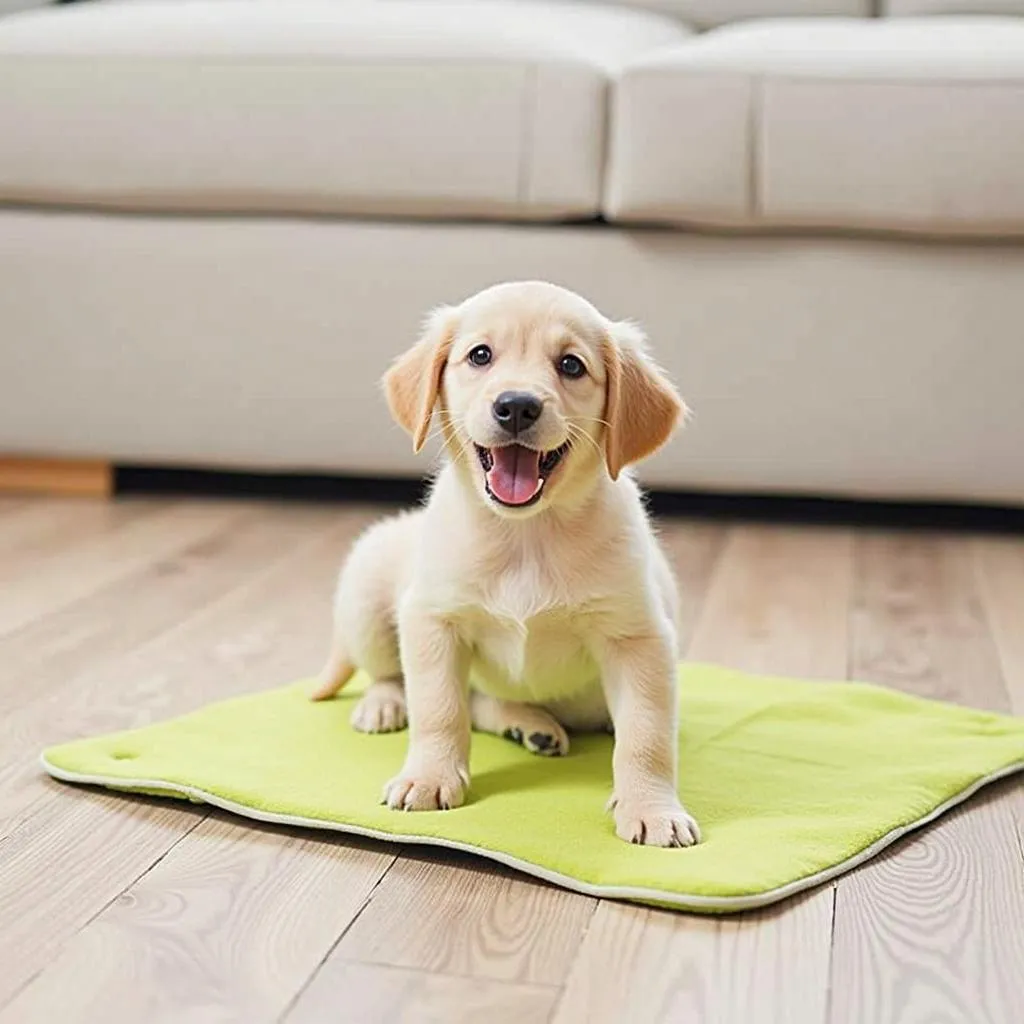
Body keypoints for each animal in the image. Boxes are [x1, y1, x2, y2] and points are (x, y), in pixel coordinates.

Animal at [307, 280, 700, 847]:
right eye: (480, 356)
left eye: (571, 365)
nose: (516, 406)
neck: (526, 534)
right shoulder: (433, 620)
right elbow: (439, 708)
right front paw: (429, 777)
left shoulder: (638, 639)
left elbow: (646, 735)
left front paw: (652, 807)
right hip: (366, 588)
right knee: (397, 677)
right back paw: (385, 705)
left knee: (486, 702)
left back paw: (531, 726)